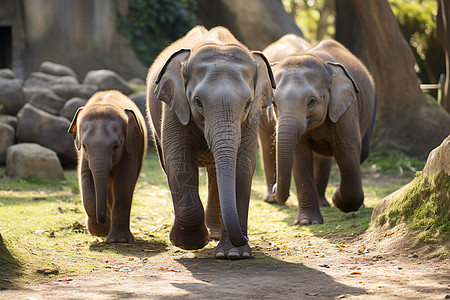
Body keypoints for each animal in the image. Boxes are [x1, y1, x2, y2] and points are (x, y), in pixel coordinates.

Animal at [147, 25, 274, 258]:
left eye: (248, 103)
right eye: (197, 102)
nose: (246, 237)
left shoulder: (251, 118)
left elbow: (243, 166)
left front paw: (234, 255)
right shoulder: (175, 106)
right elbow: (178, 161)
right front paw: (190, 243)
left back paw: (214, 234)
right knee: (168, 163)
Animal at [268, 39, 376, 225]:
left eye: (312, 101)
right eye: (274, 103)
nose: (275, 188)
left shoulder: (346, 108)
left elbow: (348, 152)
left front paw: (337, 199)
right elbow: (300, 158)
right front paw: (306, 222)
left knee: (361, 153)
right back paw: (322, 204)